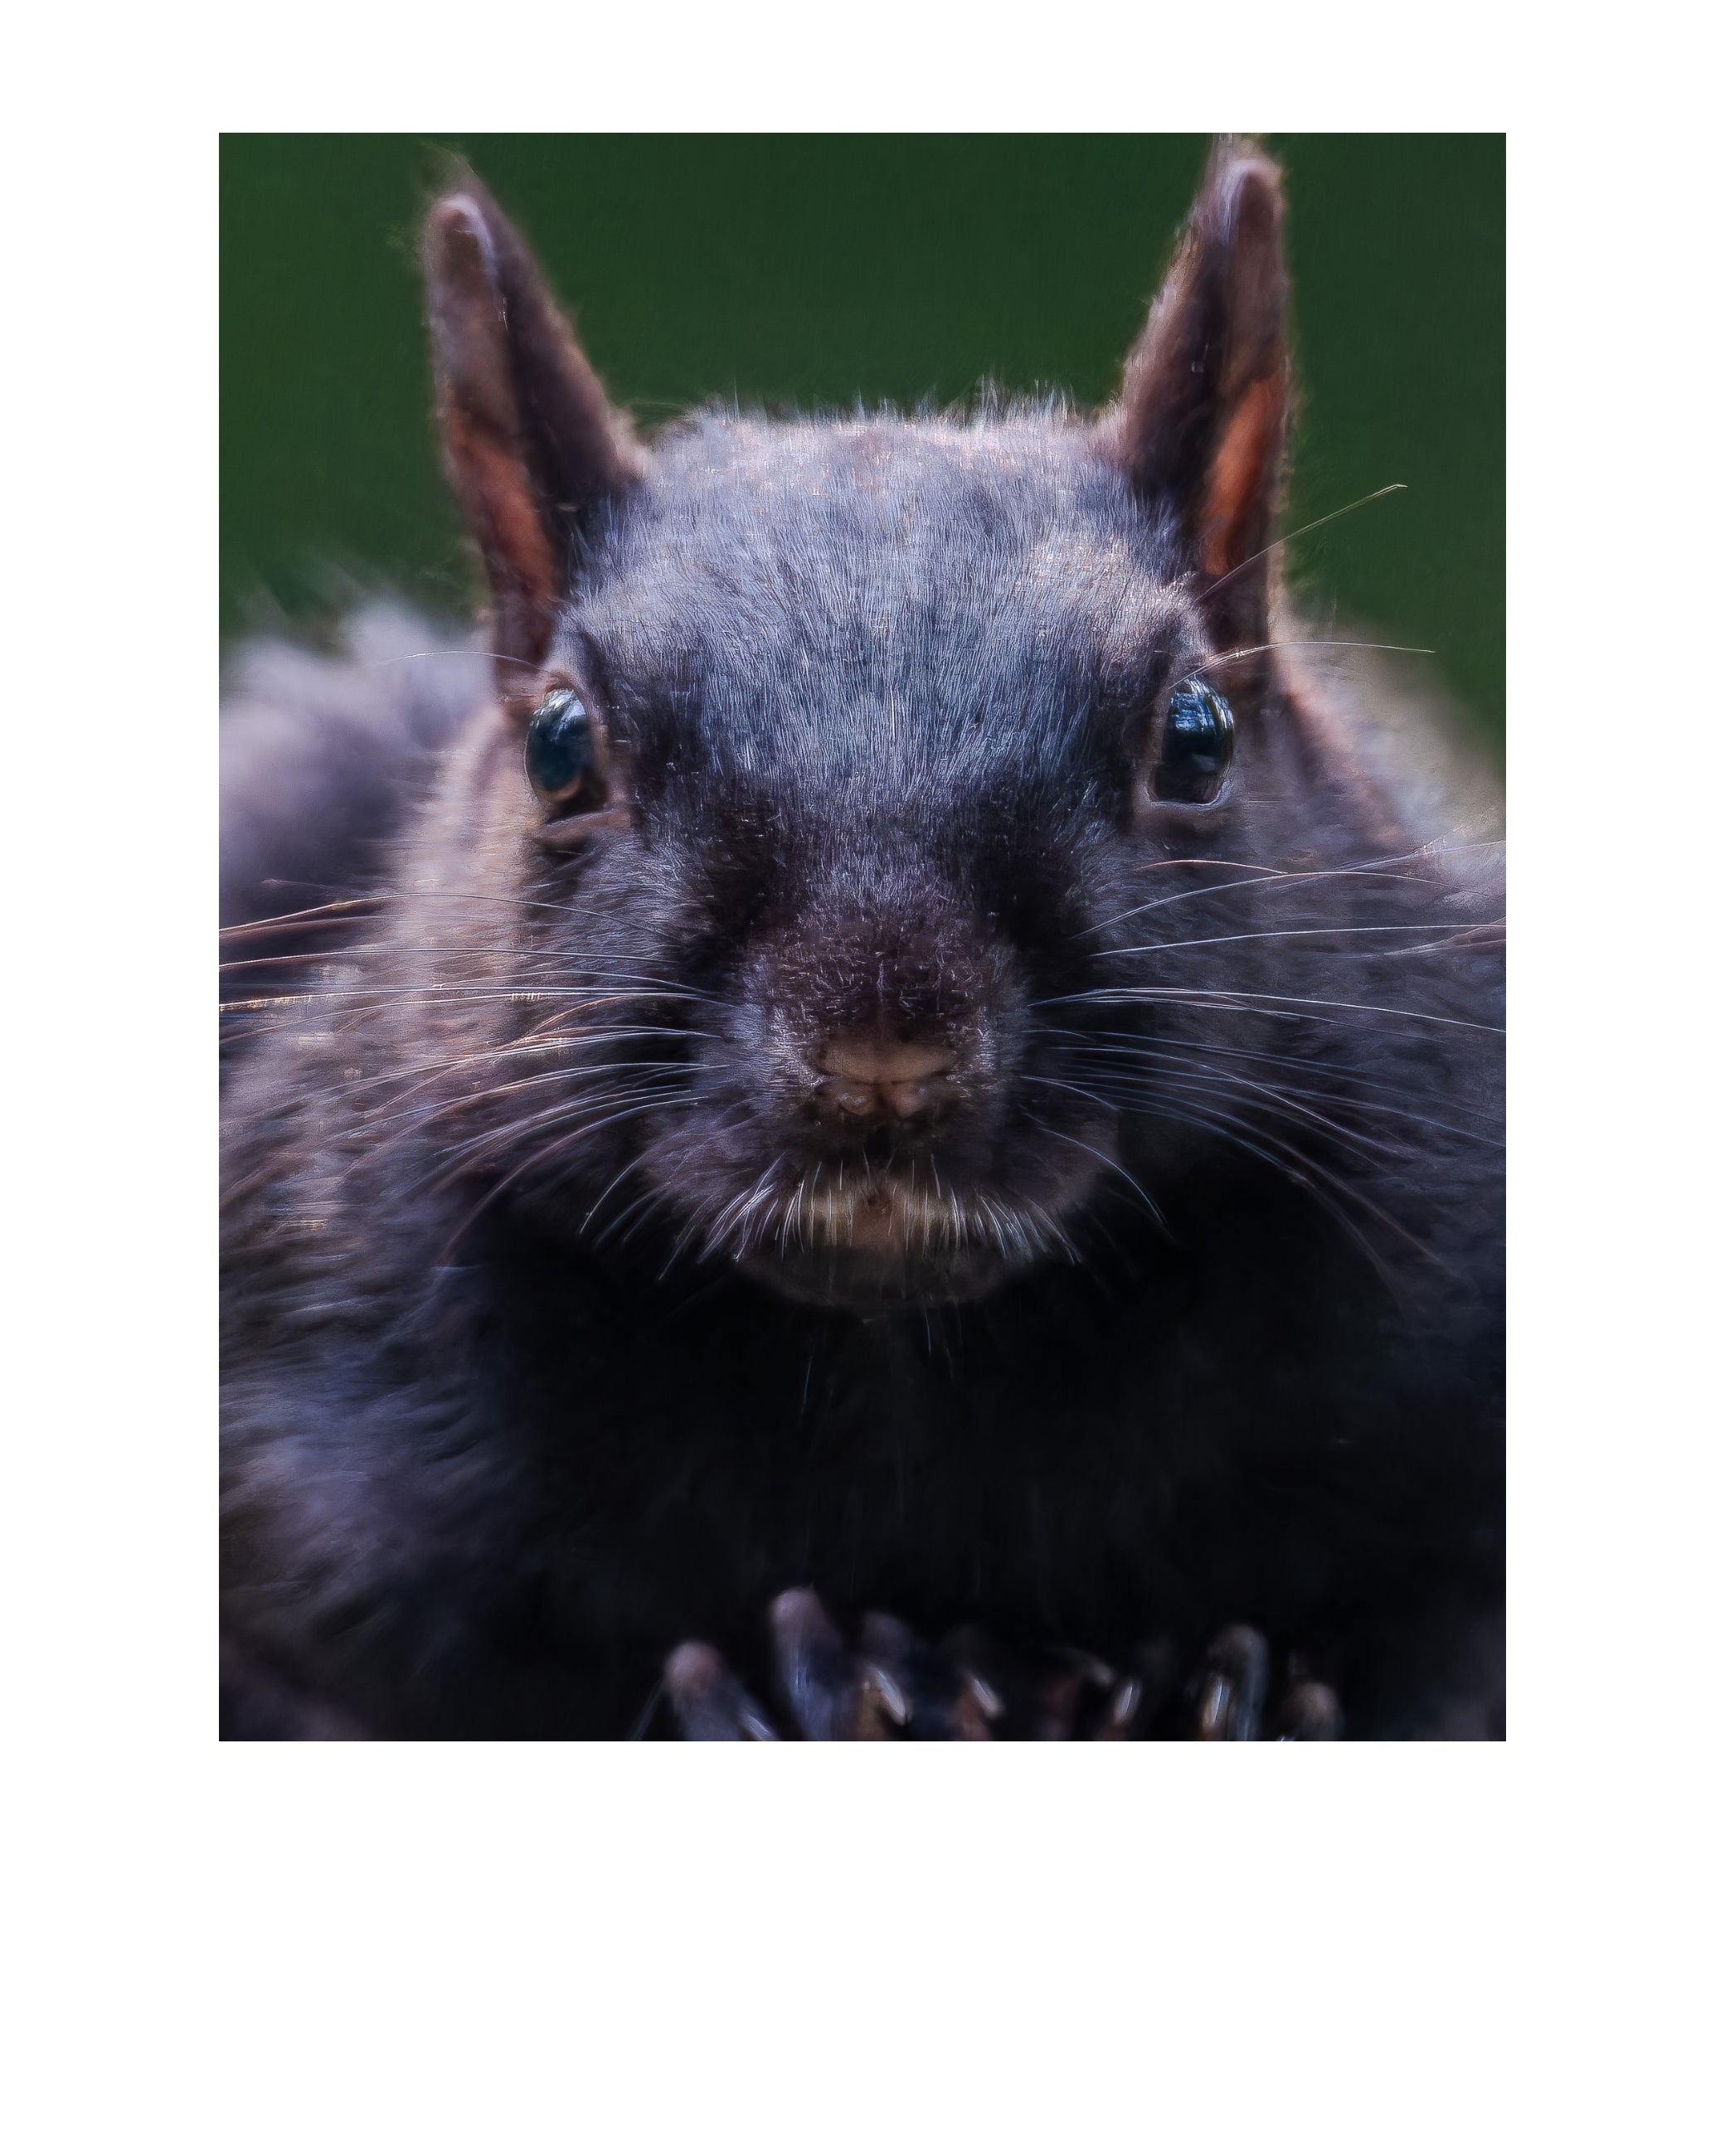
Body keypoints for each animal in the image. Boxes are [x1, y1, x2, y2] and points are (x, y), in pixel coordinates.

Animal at [220, 139, 1504, 1739]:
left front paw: (1226, 1685)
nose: (881, 1042)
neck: (902, 1367)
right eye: (560, 748)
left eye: (1200, 737)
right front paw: (817, 1683)